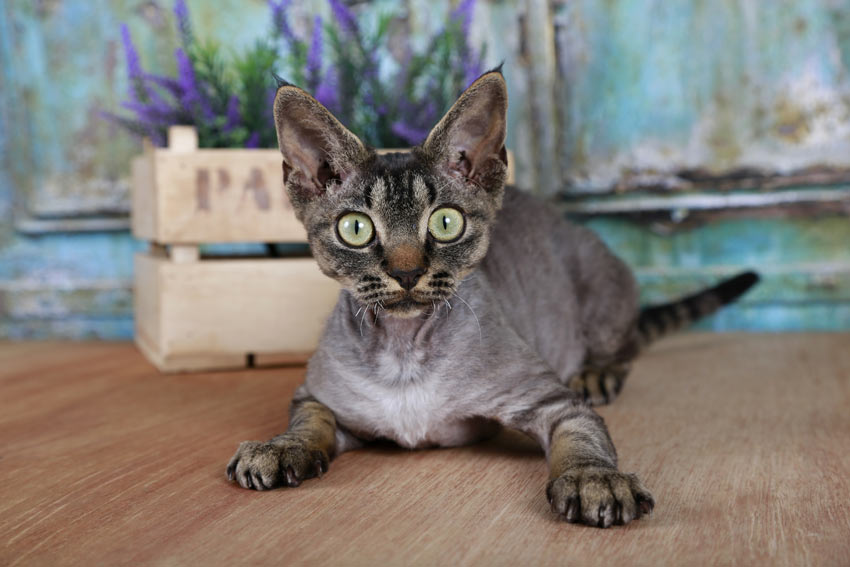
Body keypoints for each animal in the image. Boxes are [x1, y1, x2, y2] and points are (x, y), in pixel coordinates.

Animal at [224, 69, 756, 532]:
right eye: (355, 229)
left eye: (446, 222)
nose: (406, 272)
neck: (403, 352)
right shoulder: (319, 397)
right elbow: (307, 421)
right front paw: (280, 448)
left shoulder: (550, 400)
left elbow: (582, 437)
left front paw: (593, 479)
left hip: (602, 284)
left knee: (622, 343)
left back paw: (597, 372)